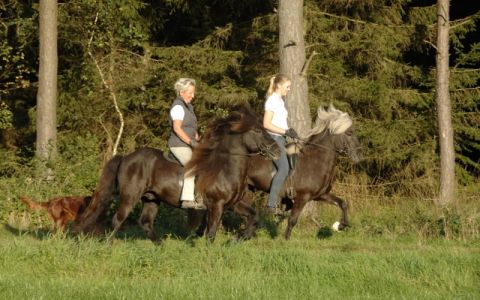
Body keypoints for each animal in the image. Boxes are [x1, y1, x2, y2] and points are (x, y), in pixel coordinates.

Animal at [73, 106, 280, 243]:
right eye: (257, 130)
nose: (277, 150)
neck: (225, 167)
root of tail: (126, 157)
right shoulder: (217, 204)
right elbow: (211, 232)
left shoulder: (232, 204)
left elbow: (254, 217)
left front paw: (238, 238)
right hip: (129, 197)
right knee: (118, 220)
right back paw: (110, 246)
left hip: (151, 198)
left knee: (145, 222)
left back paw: (161, 247)